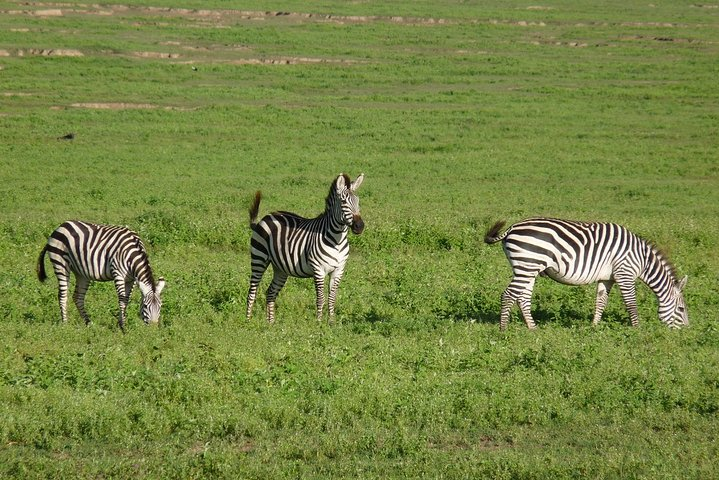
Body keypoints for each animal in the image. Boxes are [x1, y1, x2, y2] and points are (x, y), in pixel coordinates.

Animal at [37, 220, 166, 330]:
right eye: (145, 306)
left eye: (160, 306)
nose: (153, 329)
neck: (132, 253)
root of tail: (61, 226)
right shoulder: (118, 274)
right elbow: (122, 299)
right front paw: (123, 327)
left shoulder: (131, 279)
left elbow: (126, 300)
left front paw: (121, 323)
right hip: (60, 263)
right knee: (63, 295)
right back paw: (65, 324)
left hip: (81, 272)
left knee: (78, 297)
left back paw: (88, 323)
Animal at [248, 172, 368, 322]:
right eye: (343, 203)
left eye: (358, 202)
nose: (360, 226)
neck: (337, 241)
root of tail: (267, 216)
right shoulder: (319, 270)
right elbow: (320, 298)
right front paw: (319, 322)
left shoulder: (338, 270)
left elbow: (332, 299)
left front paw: (331, 322)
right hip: (259, 258)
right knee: (252, 291)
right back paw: (248, 321)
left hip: (280, 268)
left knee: (270, 292)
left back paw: (270, 323)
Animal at [486, 218, 688, 330]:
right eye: (681, 309)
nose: (686, 331)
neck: (643, 261)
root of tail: (511, 228)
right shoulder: (625, 273)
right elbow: (631, 303)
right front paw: (637, 329)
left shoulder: (607, 278)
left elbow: (601, 302)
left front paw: (594, 326)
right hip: (528, 265)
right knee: (508, 295)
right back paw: (503, 329)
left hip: (527, 268)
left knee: (522, 297)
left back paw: (532, 327)